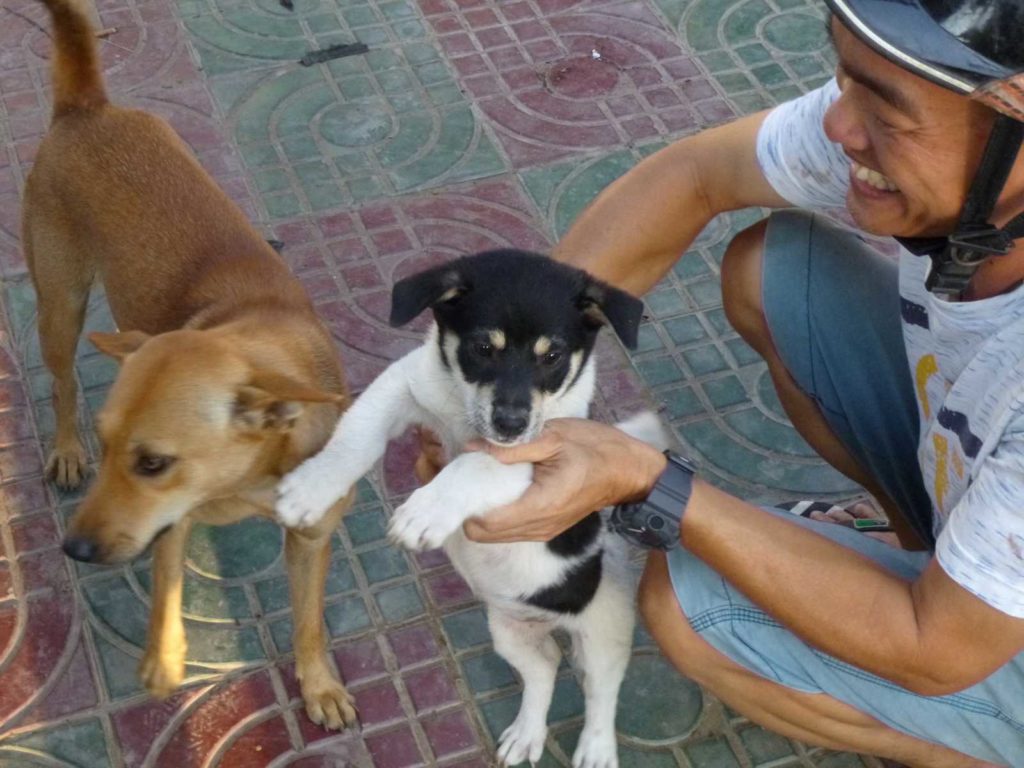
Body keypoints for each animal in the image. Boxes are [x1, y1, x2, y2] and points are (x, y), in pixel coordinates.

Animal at [24, 0, 360, 729]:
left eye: (152, 462)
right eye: (110, 444)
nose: (74, 551)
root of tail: (88, 107)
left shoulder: (311, 538)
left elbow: (309, 622)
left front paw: (319, 684)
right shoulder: (170, 526)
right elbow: (166, 586)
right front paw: (165, 658)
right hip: (60, 301)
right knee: (61, 381)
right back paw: (63, 448)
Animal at [278, 249, 671, 765]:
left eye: (552, 357)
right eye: (484, 348)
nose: (510, 424)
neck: (463, 411)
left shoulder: (540, 457)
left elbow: (474, 465)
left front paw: (424, 512)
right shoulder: (402, 384)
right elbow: (355, 437)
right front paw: (312, 487)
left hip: (605, 625)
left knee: (602, 688)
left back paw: (596, 748)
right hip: (507, 628)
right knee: (545, 665)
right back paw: (526, 734)